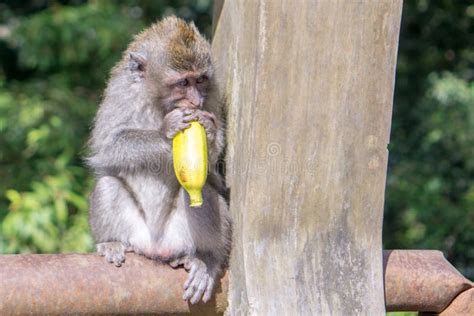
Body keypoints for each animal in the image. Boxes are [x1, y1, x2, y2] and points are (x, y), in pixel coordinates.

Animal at [86, 16, 233, 304]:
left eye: (200, 80)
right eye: (183, 83)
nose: (196, 102)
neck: (158, 102)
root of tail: (156, 246)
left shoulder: (213, 92)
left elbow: (214, 165)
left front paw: (208, 130)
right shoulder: (121, 91)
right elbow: (108, 144)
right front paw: (166, 131)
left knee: (204, 194)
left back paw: (207, 260)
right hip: (135, 233)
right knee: (108, 183)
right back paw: (111, 241)